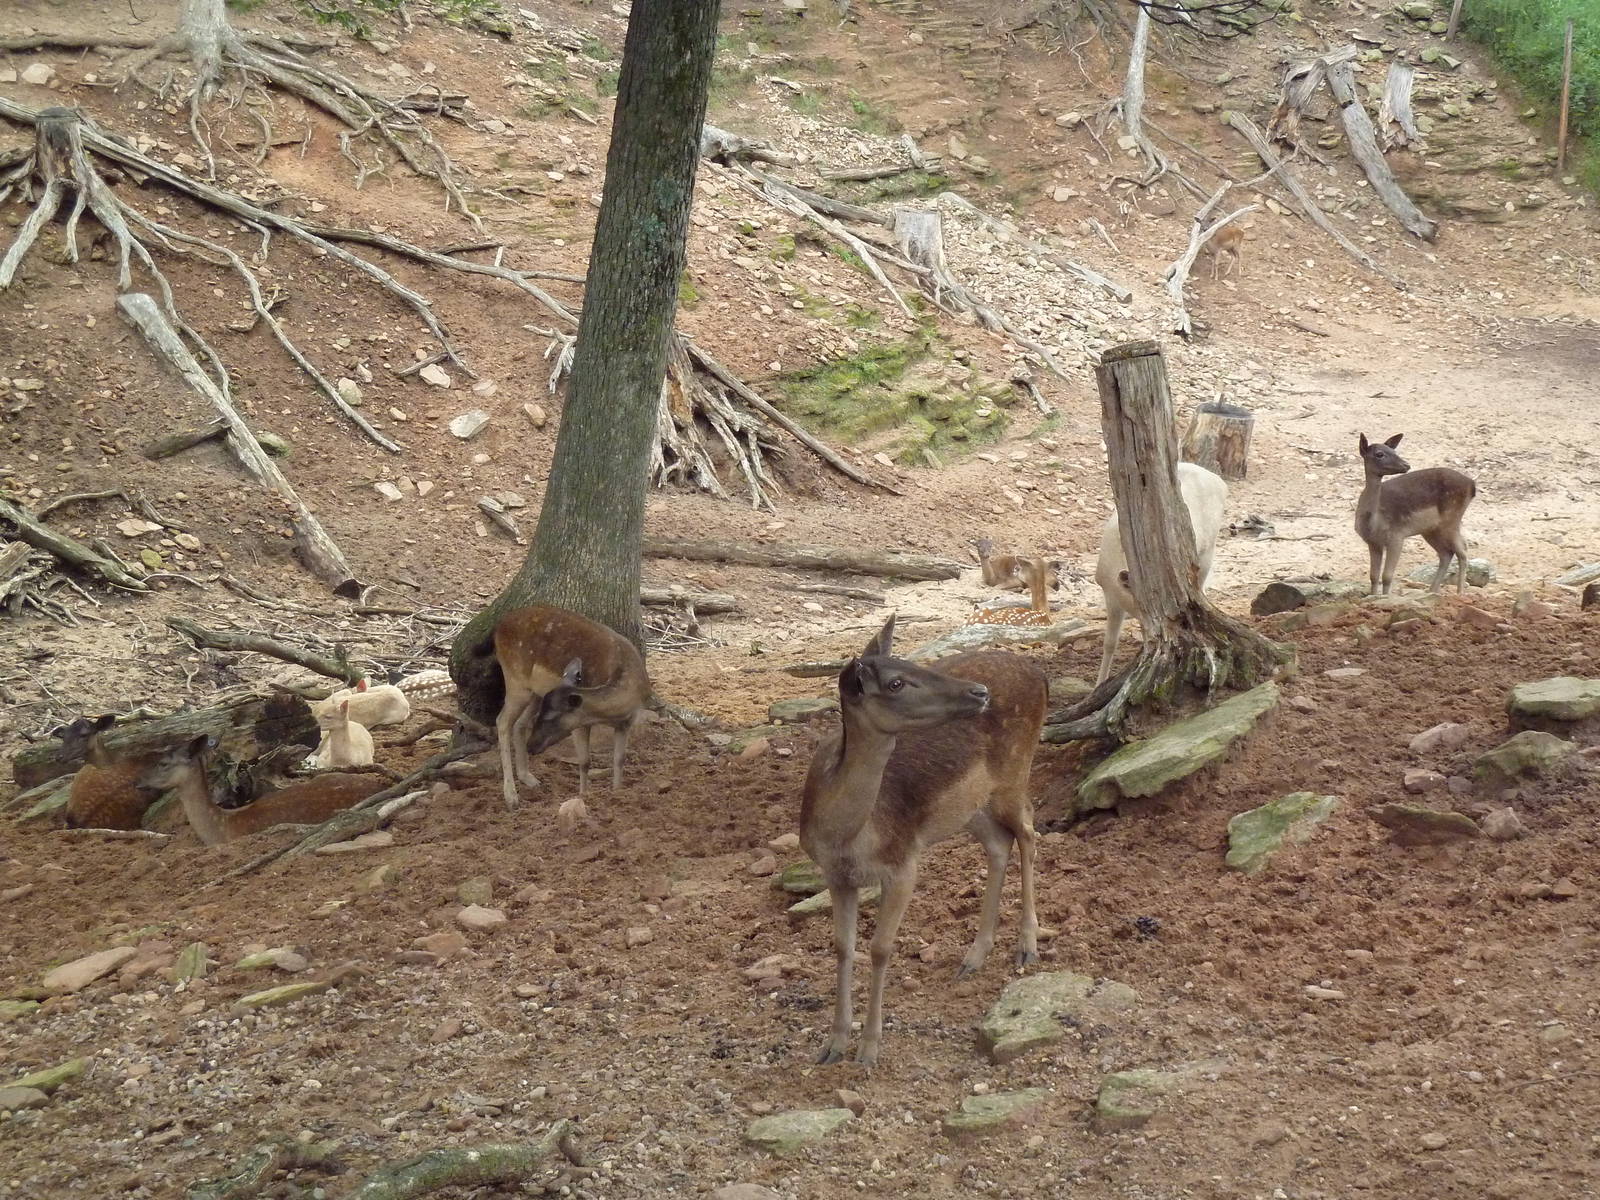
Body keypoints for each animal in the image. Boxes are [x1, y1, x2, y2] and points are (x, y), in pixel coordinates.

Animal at [493, 605, 651, 809]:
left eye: (551, 717)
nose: (532, 745)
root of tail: (499, 627)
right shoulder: (579, 722)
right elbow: (584, 761)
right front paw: (584, 796)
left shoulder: (626, 722)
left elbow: (619, 759)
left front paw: (617, 793)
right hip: (516, 680)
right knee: (502, 721)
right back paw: (511, 797)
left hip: (536, 692)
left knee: (519, 723)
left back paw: (528, 778)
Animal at [800, 614, 1048, 1068]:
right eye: (896, 681)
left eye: (912, 664)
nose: (979, 692)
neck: (844, 835)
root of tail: (1040, 673)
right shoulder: (835, 875)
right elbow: (843, 946)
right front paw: (833, 1044)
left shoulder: (902, 862)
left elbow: (880, 948)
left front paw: (869, 1048)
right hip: (969, 808)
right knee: (999, 843)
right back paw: (974, 956)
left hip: (1014, 773)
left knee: (1028, 832)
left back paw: (1027, 945)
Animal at [1096, 461, 1229, 685]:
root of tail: (1220, 481)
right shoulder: (1108, 592)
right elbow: (1109, 642)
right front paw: (1098, 684)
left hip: (1209, 550)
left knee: (1201, 585)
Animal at [1355, 433, 1477, 595]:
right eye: (1379, 454)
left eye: (1394, 451)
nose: (1406, 465)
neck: (1373, 523)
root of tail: (1472, 485)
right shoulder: (1373, 542)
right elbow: (1373, 576)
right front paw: (1373, 597)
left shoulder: (1397, 536)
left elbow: (1387, 576)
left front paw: (1385, 597)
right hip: (1431, 529)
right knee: (1446, 553)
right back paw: (1432, 591)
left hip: (1451, 518)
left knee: (1462, 549)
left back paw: (1459, 592)